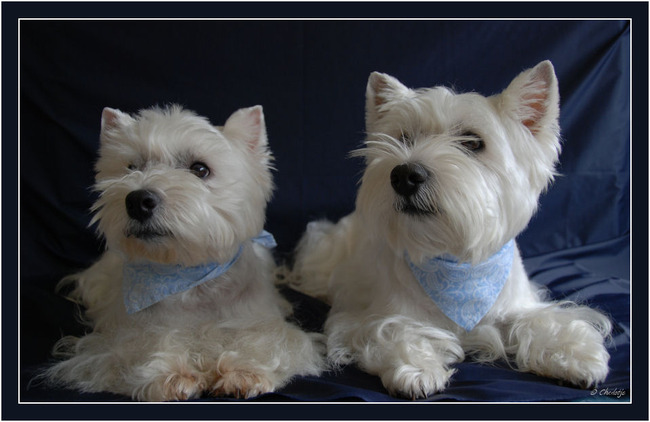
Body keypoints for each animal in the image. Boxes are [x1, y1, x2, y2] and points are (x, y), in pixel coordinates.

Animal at [44, 104, 323, 401]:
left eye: (200, 169)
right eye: (131, 167)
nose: (138, 200)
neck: (188, 276)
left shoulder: (260, 321)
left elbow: (263, 341)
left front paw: (243, 372)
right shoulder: (122, 337)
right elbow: (145, 344)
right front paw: (173, 375)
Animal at [291, 61, 611, 399]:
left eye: (472, 142)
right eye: (405, 138)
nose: (404, 175)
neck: (455, 260)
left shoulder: (519, 306)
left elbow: (543, 320)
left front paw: (575, 356)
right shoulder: (372, 318)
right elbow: (395, 330)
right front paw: (417, 370)